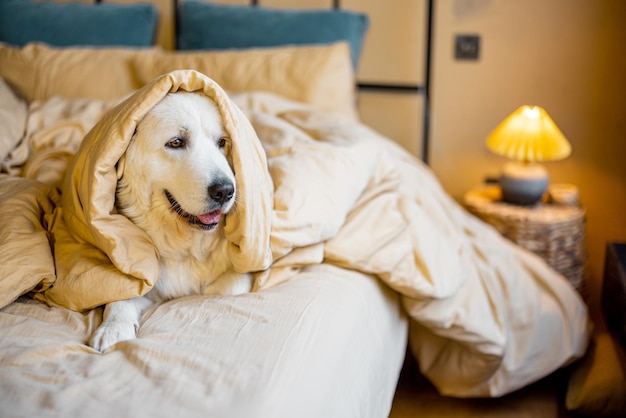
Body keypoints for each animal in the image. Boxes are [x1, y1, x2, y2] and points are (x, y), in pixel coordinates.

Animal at [87, 92, 251, 352]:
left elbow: (230, 289)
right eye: (176, 142)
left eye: (222, 142)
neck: (186, 247)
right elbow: (121, 296)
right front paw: (113, 328)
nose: (225, 191)